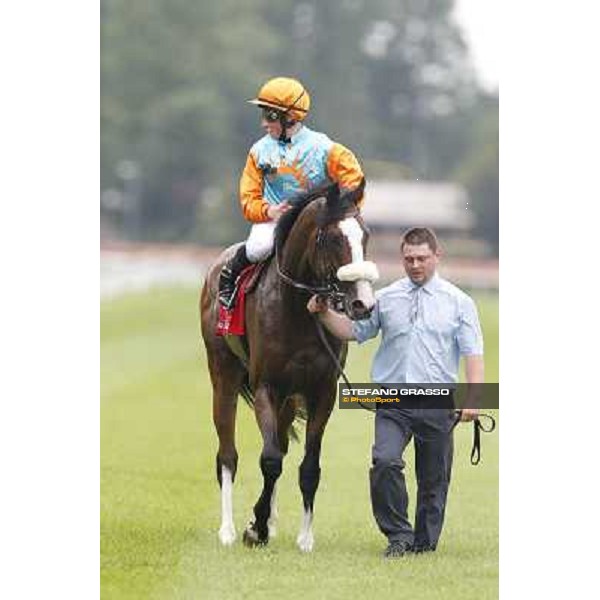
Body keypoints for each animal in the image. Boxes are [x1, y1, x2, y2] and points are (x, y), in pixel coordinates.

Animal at [203, 182, 380, 552]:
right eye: (332, 239)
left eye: (366, 235)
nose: (363, 304)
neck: (297, 310)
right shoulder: (267, 387)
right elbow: (269, 459)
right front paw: (254, 528)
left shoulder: (322, 392)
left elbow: (308, 466)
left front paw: (303, 536)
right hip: (223, 374)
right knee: (228, 454)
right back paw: (227, 530)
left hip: (287, 400)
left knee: (281, 445)